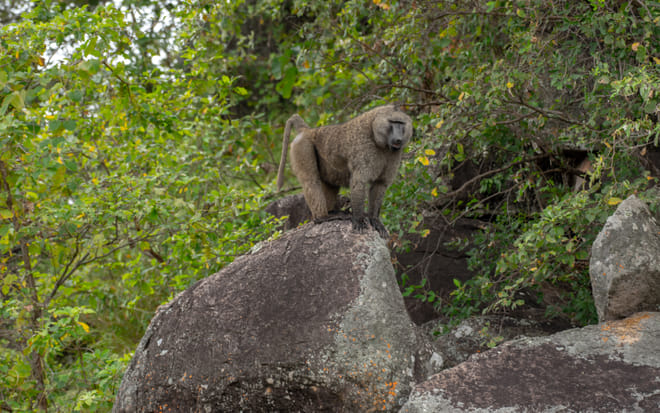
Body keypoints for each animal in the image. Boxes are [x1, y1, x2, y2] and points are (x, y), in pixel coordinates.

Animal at [276, 105, 413, 237]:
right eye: (393, 122)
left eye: (401, 123)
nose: (398, 139)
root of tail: (308, 131)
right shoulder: (364, 149)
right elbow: (359, 182)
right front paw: (358, 220)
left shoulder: (394, 155)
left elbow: (380, 184)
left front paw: (375, 220)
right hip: (303, 146)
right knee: (311, 181)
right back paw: (322, 218)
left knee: (330, 184)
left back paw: (331, 212)